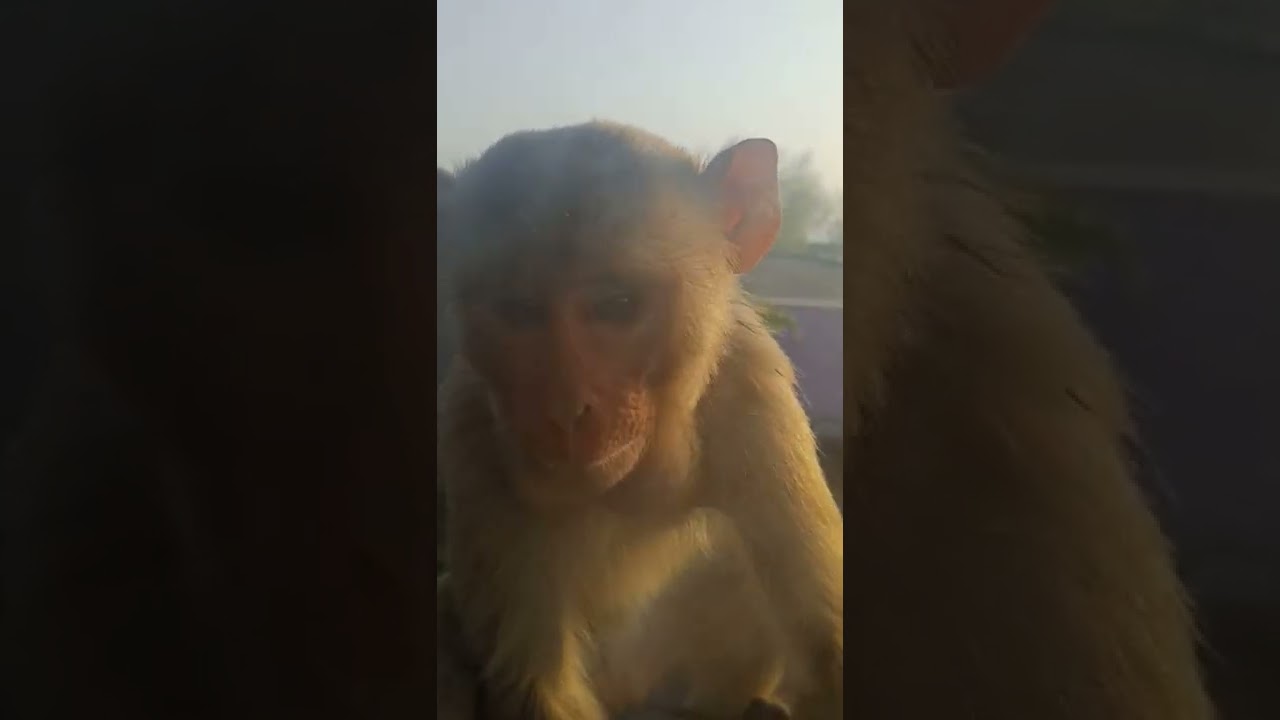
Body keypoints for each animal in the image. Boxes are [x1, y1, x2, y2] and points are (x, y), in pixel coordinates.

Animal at [435, 124, 844, 720]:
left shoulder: (752, 395)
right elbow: (534, 687)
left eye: (617, 305)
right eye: (518, 310)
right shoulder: (470, 434)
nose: (565, 409)